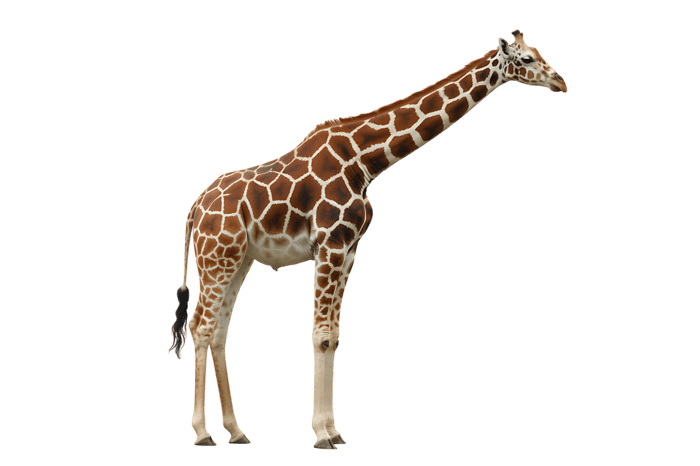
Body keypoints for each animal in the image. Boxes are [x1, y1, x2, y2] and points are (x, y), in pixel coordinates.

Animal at [168, 29, 567, 450]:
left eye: (538, 53)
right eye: (526, 59)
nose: (561, 81)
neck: (364, 159)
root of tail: (194, 209)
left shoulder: (349, 249)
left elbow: (335, 336)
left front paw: (334, 430)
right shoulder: (329, 244)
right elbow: (321, 335)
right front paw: (321, 434)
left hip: (238, 259)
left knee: (218, 330)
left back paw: (236, 430)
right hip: (217, 257)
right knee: (202, 326)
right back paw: (202, 433)